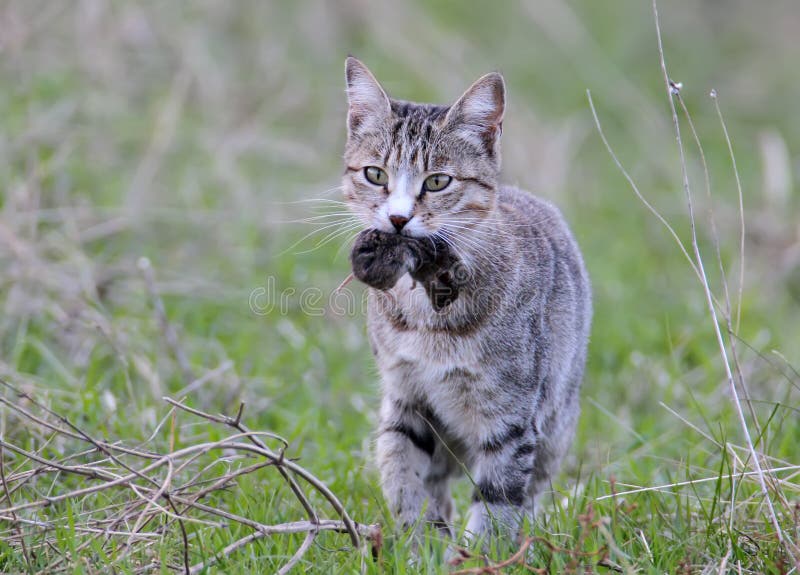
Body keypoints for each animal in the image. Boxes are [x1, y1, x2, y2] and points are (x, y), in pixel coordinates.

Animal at [340, 57, 592, 544]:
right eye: (375, 174)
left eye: (438, 181)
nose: (398, 219)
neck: (424, 317)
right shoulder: (405, 399)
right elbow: (405, 478)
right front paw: (418, 545)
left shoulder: (511, 419)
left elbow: (498, 505)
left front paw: (478, 554)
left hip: (554, 428)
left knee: (530, 493)